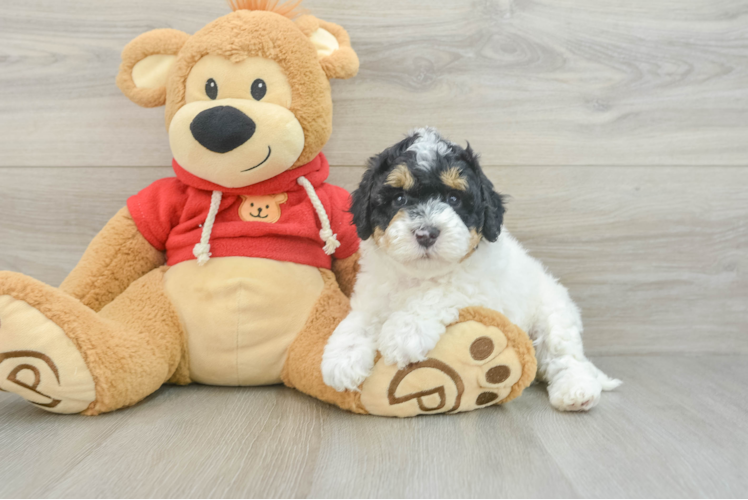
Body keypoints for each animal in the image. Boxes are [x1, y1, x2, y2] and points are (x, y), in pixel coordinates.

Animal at [324, 128, 624, 410]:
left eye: (454, 200)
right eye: (399, 199)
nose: (426, 233)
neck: (420, 275)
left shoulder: (478, 289)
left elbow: (439, 293)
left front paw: (404, 332)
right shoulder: (374, 292)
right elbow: (362, 319)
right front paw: (342, 358)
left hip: (553, 316)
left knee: (566, 357)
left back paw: (576, 391)